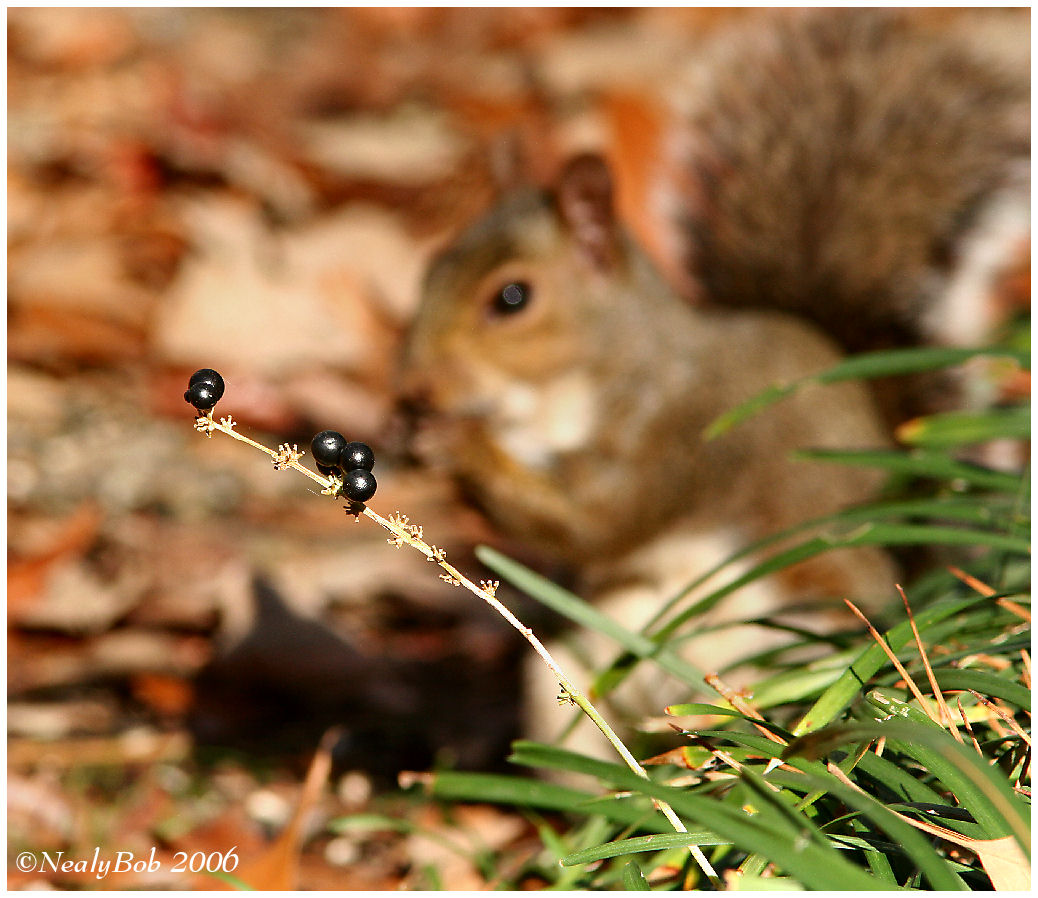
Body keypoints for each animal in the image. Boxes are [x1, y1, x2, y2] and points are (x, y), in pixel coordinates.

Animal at [392, 10, 1025, 751]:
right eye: (431, 269)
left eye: (511, 298)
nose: (414, 387)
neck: (555, 407)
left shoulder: (682, 426)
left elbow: (598, 519)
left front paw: (456, 444)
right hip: (568, 682)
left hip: (795, 637)